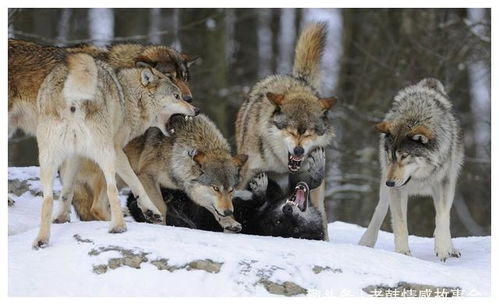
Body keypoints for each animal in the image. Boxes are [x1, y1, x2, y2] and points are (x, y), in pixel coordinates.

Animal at [31, 52, 198, 247]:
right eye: (177, 96)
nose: (196, 109)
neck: (130, 98)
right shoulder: (118, 151)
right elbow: (136, 183)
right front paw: (150, 211)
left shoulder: (75, 154)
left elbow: (67, 189)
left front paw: (61, 218)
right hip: (106, 155)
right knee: (111, 190)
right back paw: (118, 226)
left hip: (48, 160)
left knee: (48, 198)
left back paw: (41, 239)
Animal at [70, 113, 248, 230]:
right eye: (215, 188)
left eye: (231, 190)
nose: (229, 211)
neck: (176, 150)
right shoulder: (146, 177)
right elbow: (161, 206)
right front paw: (160, 224)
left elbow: (211, 207)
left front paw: (229, 222)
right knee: (97, 207)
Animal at [360, 78, 464, 262]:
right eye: (390, 156)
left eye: (404, 156)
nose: (390, 182)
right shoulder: (397, 188)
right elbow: (401, 223)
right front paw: (402, 254)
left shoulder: (444, 183)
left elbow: (442, 216)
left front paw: (443, 248)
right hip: (386, 183)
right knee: (380, 209)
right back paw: (367, 241)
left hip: (447, 182)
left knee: (444, 214)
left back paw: (451, 248)